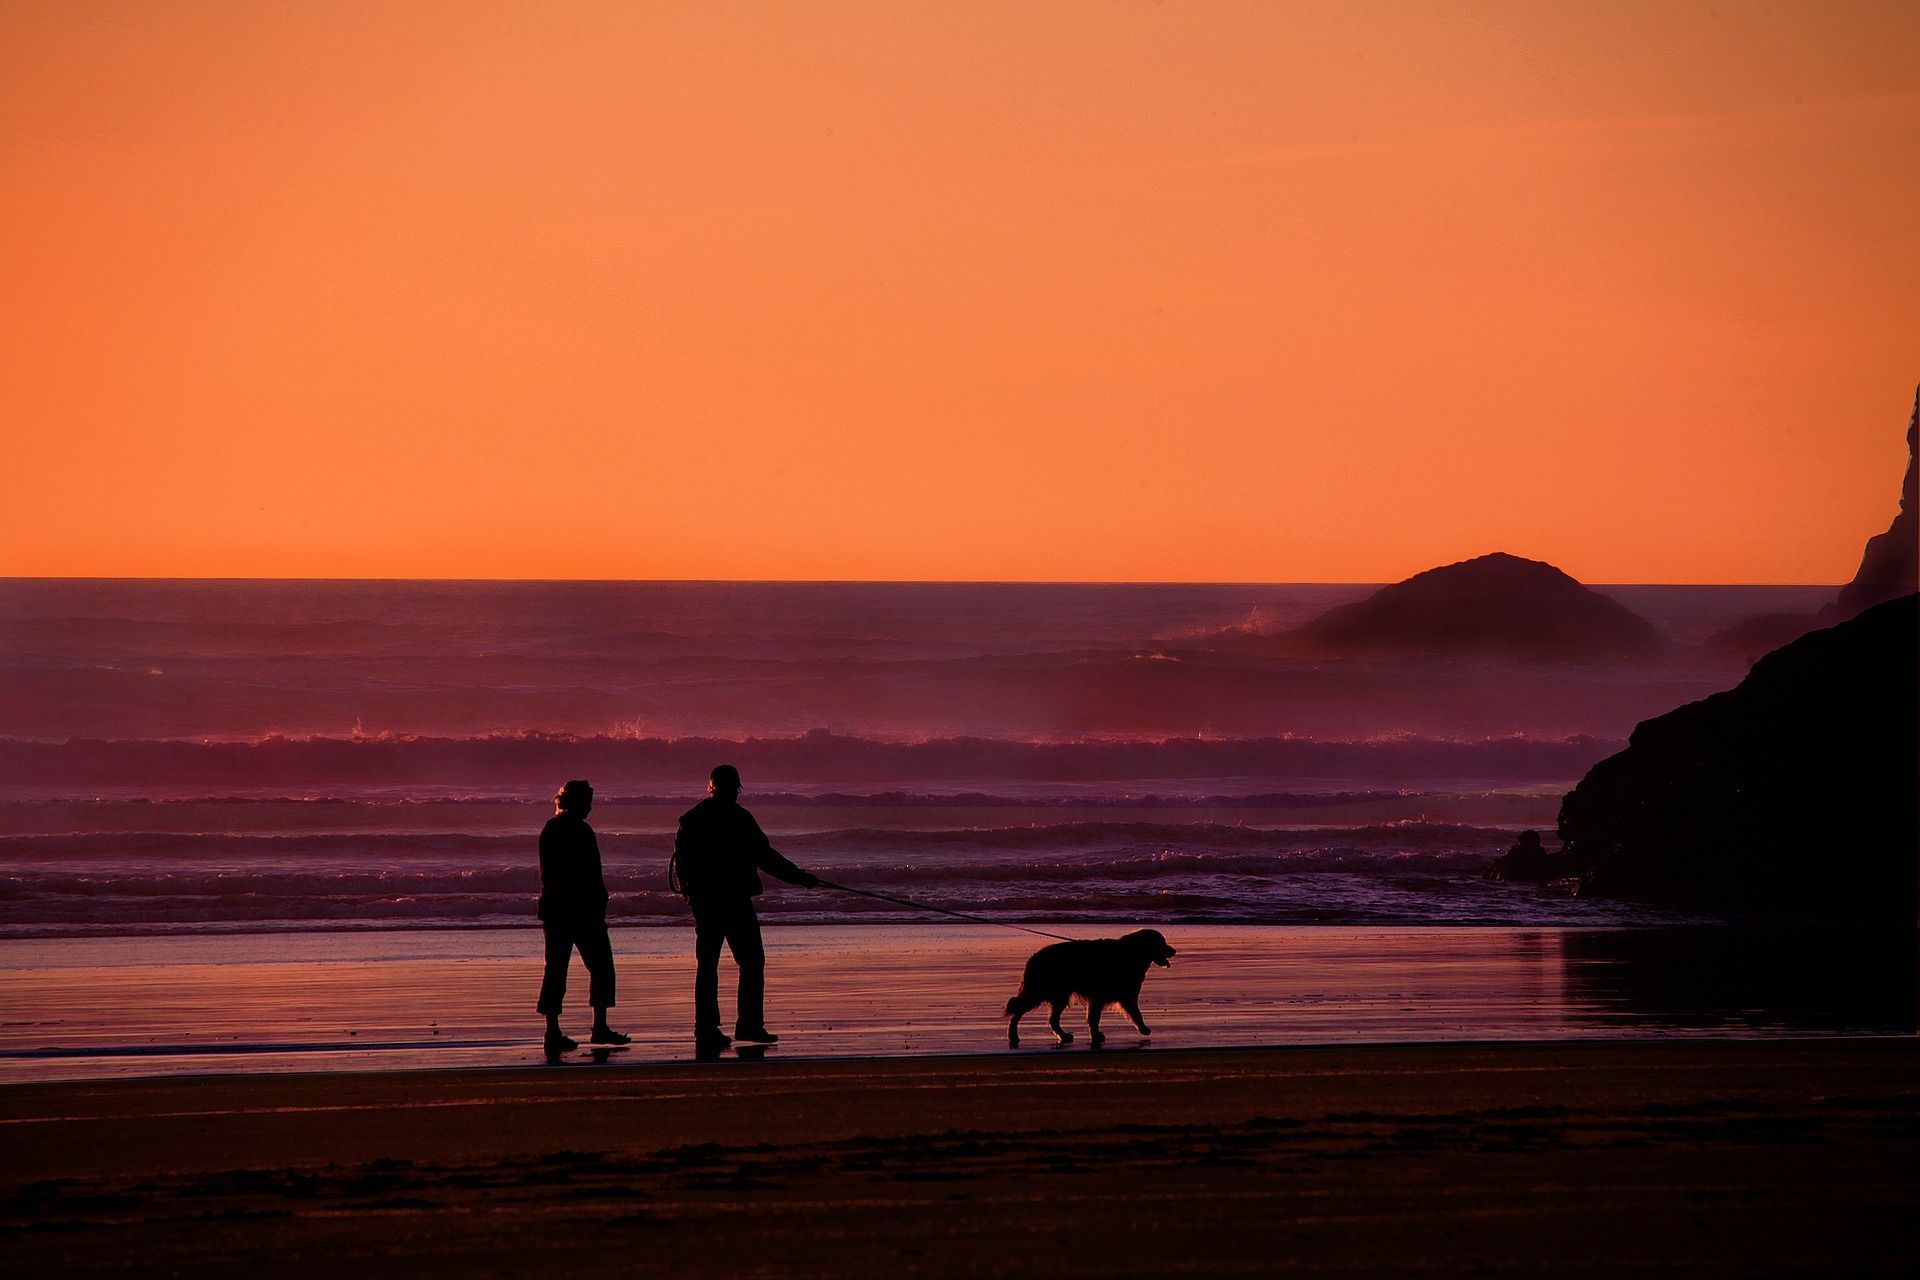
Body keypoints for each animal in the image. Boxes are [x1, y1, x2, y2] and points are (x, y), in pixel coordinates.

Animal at [1006, 932, 1167, 1051]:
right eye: (1162, 942)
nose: (1172, 950)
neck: (1132, 953)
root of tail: (1033, 958)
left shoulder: (1103, 998)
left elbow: (1095, 1018)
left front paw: (1096, 1035)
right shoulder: (1113, 996)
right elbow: (1134, 1014)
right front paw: (1144, 1029)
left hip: (1059, 995)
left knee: (1052, 1019)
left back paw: (1063, 1036)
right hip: (1040, 992)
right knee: (1018, 1011)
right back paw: (1013, 1035)